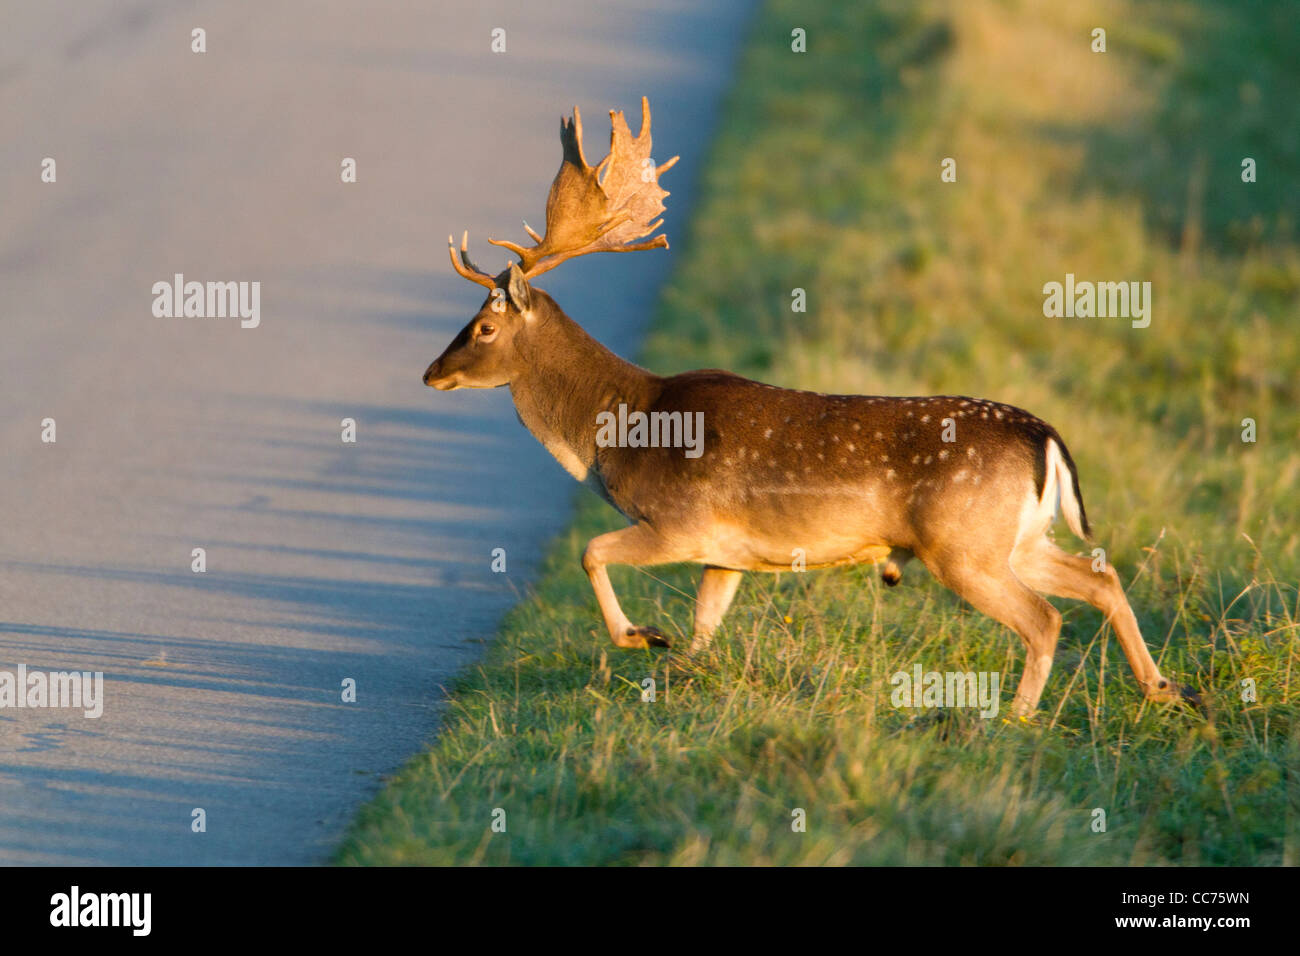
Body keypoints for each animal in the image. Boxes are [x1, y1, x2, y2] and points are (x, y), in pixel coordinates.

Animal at [421, 97, 1190, 712]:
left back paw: (1017, 717)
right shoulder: (727, 554)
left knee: (1045, 618)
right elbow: (704, 629)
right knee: (1102, 577)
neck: (620, 432)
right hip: (1017, 537)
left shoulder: (680, 523)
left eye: (483, 327)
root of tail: (1047, 439)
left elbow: (590, 552)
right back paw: (1161, 689)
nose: (430, 373)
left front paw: (641, 636)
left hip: (963, 544)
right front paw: (677, 669)